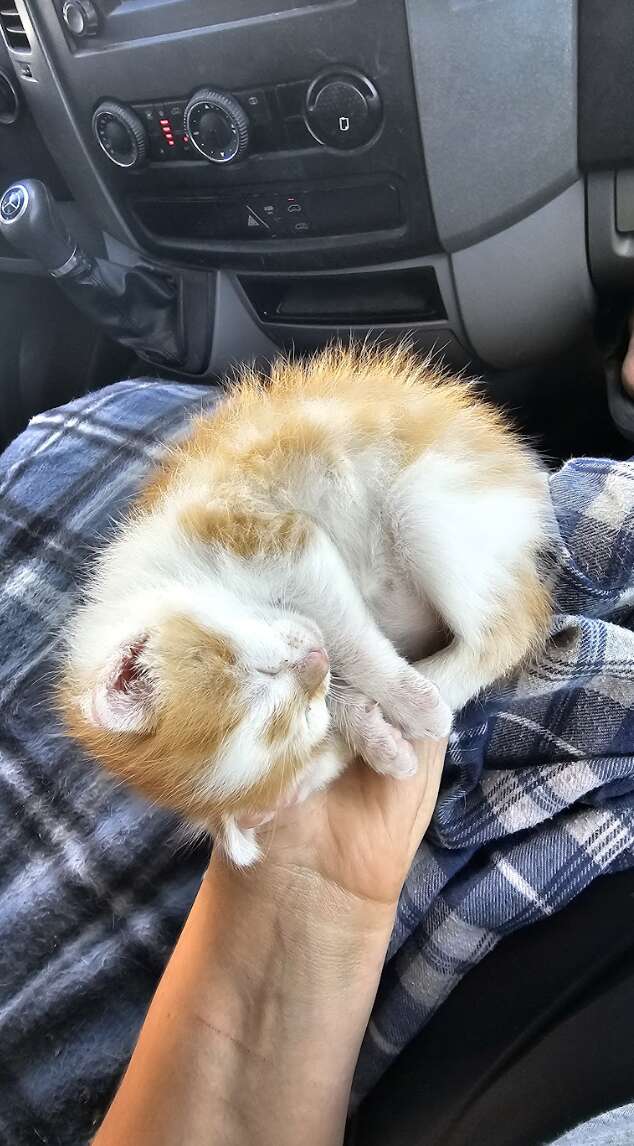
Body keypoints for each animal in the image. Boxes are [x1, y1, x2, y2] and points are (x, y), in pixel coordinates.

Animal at [61, 343, 550, 861]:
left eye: (250, 663)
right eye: (303, 718)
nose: (316, 660)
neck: (167, 567)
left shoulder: (257, 530)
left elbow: (348, 633)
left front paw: (412, 703)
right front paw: (373, 734)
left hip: (427, 496)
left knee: (505, 632)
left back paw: (437, 684)